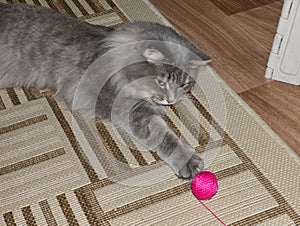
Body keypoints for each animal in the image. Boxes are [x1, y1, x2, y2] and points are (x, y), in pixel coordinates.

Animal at [0, 2, 211, 179]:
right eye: (161, 82)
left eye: (184, 84)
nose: (171, 100)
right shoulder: (130, 110)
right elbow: (165, 138)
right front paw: (188, 161)